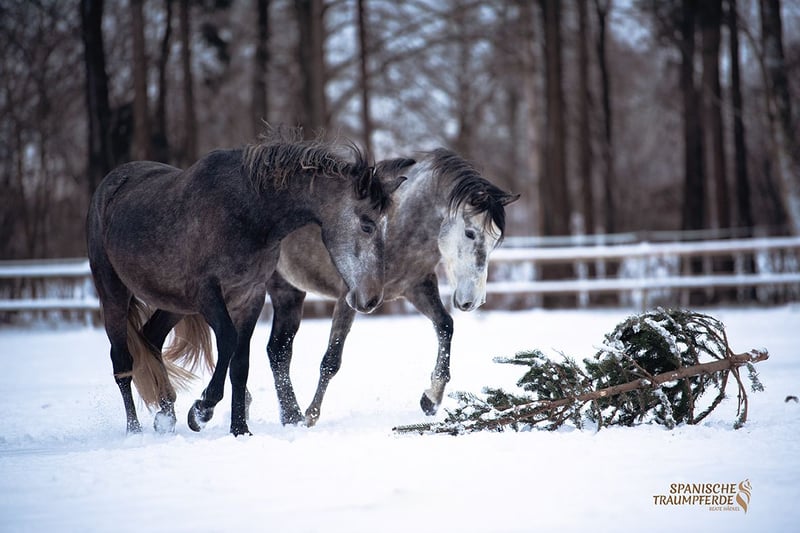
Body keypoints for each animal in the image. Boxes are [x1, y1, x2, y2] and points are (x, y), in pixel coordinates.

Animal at [86, 130, 413, 436]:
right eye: (368, 225)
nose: (371, 299)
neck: (249, 211)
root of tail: (107, 186)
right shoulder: (207, 293)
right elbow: (229, 341)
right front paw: (202, 410)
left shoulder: (249, 296)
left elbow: (240, 363)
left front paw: (239, 429)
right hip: (114, 294)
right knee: (122, 361)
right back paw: (134, 429)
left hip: (176, 304)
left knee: (151, 339)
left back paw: (166, 416)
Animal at [265, 148, 519, 426]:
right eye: (470, 233)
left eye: (496, 240)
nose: (473, 300)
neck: (399, 223)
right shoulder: (350, 296)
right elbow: (332, 359)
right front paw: (311, 416)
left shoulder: (416, 287)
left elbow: (445, 326)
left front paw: (431, 399)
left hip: (289, 292)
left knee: (278, 351)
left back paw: (287, 415)